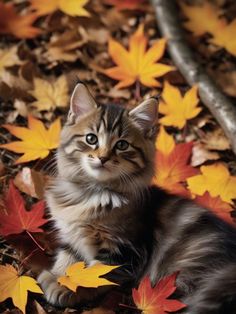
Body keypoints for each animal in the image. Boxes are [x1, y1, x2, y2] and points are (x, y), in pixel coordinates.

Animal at [37, 83, 236, 314]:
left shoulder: (123, 251)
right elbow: (67, 258)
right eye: (91, 139)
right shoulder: (71, 236)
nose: (103, 158)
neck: (91, 193)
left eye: (122, 145)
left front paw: (66, 288)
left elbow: (95, 275)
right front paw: (55, 276)